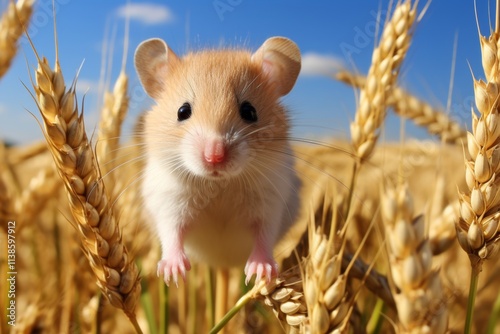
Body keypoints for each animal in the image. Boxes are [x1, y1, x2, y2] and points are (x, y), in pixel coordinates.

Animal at [134, 37, 300, 288]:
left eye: (249, 111)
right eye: (182, 111)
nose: (215, 156)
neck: (220, 184)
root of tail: (222, 264)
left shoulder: (270, 203)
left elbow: (264, 236)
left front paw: (261, 272)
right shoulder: (169, 201)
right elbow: (172, 232)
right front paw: (174, 274)